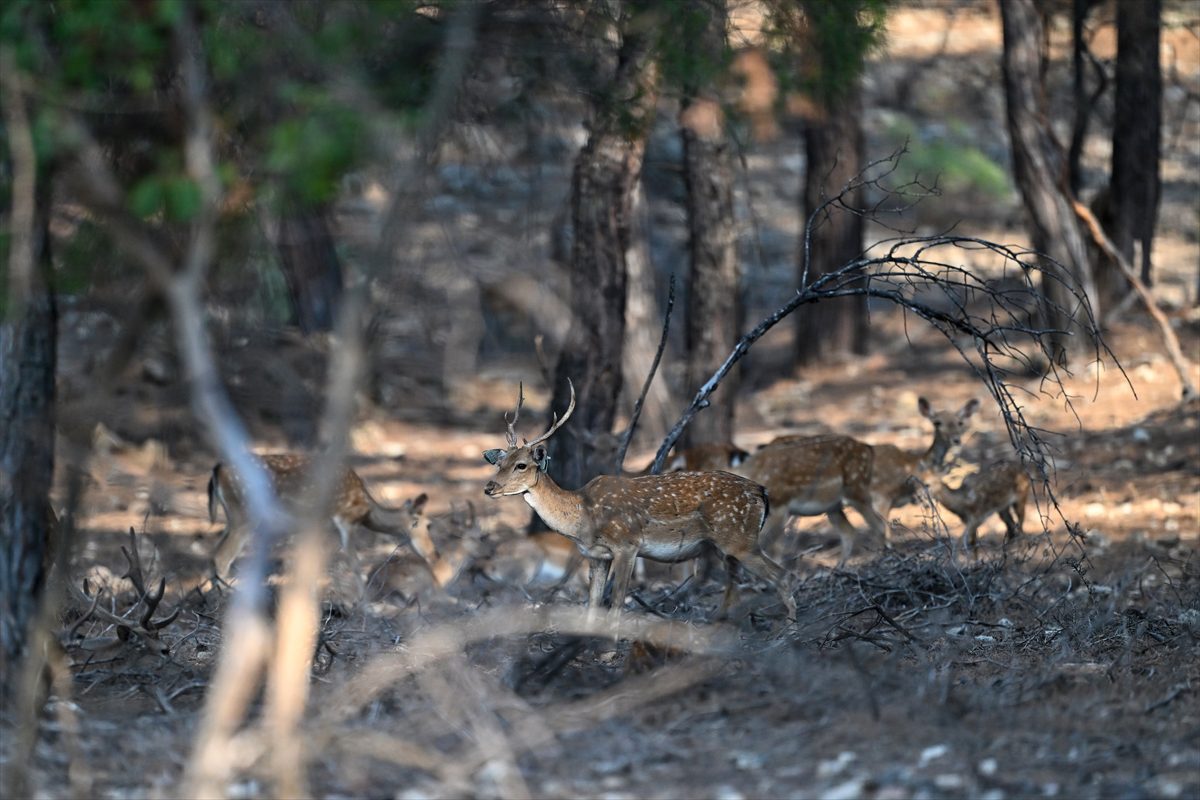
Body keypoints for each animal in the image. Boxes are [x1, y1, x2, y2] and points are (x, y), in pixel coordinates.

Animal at [208, 455, 448, 587]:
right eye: (428, 525)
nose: (435, 554)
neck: (366, 509)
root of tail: (217, 469)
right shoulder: (345, 520)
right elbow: (355, 564)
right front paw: (367, 608)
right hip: (245, 515)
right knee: (222, 556)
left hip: (232, 517)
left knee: (214, 554)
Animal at [477, 383, 796, 623]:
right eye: (500, 463)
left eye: (521, 465)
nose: (489, 487)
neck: (582, 517)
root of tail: (761, 491)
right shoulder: (596, 556)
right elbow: (592, 607)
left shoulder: (627, 546)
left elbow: (617, 603)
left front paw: (609, 652)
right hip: (725, 547)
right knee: (736, 584)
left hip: (739, 539)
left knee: (782, 575)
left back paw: (790, 628)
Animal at [734, 398, 979, 563]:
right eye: (937, 422)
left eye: (960, 422)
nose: (957, 440)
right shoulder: (881, 495)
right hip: (823, 501)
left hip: (836, 501)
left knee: (853, 532)